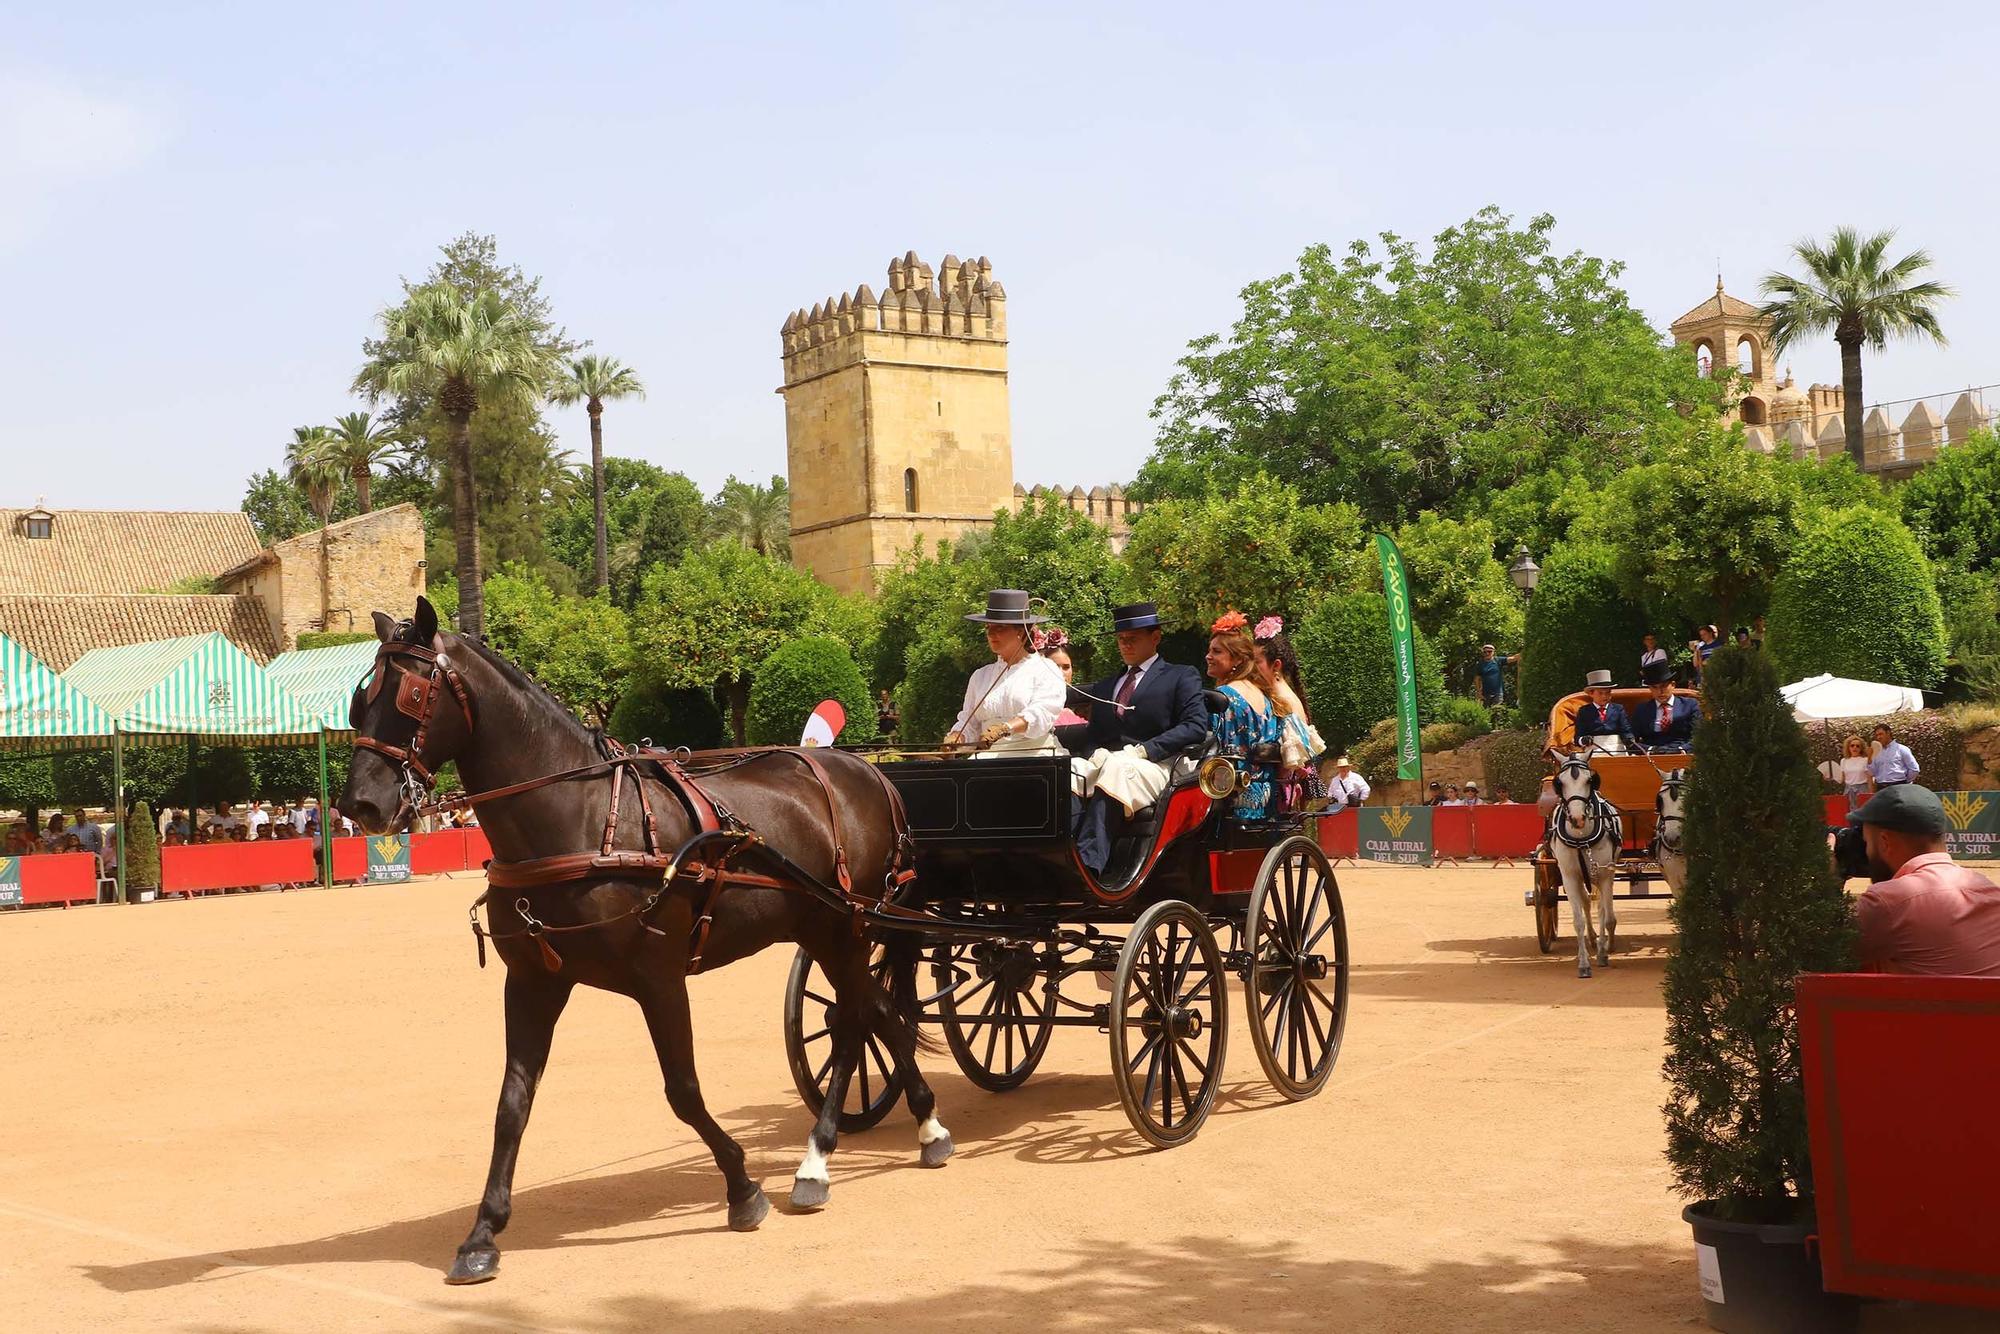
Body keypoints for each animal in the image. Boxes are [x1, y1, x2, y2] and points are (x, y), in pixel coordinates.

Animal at [336, 604, 944, 1280]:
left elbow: (683, 1090)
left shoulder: (659, 979)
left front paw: (742, 1188)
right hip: (827, 929)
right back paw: (912, 1127)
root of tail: (866, 770)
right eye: (360, 699)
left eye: (413, 695)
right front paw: (483, 1233)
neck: (582, 818)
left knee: (858, 1018)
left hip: (842, 928)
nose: (361, 805)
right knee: (874, 1011)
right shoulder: (533, 981)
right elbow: (512, 1103)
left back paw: (823, 1156)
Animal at [1544, 752, 1624, 980]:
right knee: (1587, 904)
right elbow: (1578, 920)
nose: (1577, 819)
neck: (1581, 837)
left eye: (1590, 780)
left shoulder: (1605, 874)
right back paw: (1592, 938)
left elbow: (1607, 917)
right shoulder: (1570, 876)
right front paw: (1584, 964)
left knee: (1601, 908)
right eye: (1560, 783)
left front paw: (1604, 953)